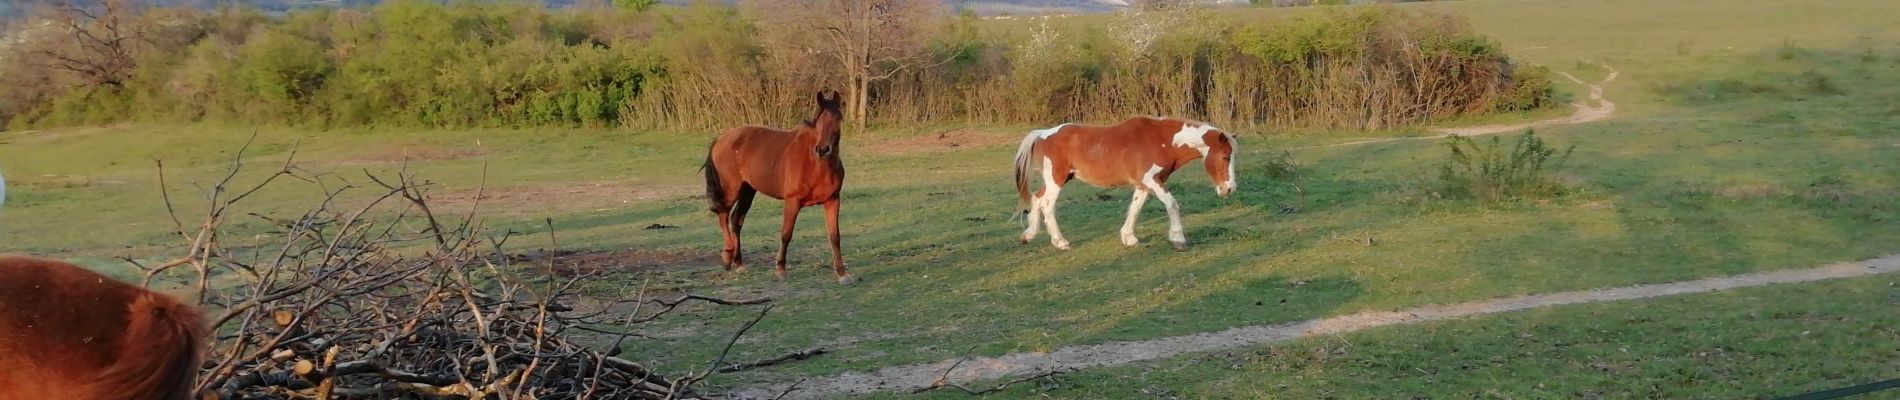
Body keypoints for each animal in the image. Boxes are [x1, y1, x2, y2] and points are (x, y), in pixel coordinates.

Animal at [699, 90, 855, 284]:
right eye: (818, 120)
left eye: (837, 119)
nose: (822, 149)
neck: (815, 164)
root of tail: (721, 138)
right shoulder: (792, 201)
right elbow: (786, 234)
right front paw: (781, 269)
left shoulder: (832, 200)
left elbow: (835, 237)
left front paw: (842, 273)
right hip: (731, 189)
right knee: (723, 215)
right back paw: (727, 257)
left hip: (748, 190)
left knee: (736, 220)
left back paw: (739, 263)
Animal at [1018, 114, 1238, 250]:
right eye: (1226, 157)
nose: (1229, 189)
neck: (1161, 141)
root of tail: (1042, 134)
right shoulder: (1152, 180)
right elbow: (1172, 204)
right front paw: (1178, 239)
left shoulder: (1143, 184)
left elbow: (1135, 208)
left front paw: (1129, 238)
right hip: (1056, 180)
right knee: (1047, 204)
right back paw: (1060, 242)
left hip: (1058, 179)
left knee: (1037, 199)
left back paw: (1029, 235)